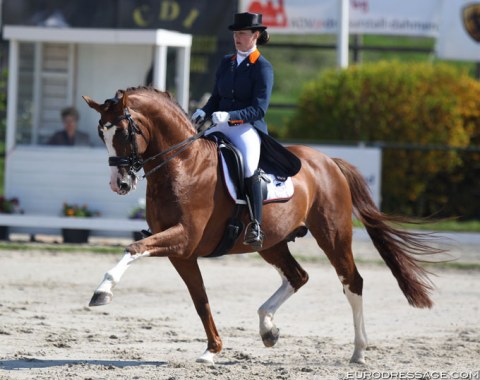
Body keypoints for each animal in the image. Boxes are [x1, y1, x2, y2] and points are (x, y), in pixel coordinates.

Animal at [82, 87, 442, 366]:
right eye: (101, 133)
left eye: (124, 133)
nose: (120, 184)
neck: (183, 164)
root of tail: (328, 161)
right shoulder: (181, 253)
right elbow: (200, 300)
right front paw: (212, 350)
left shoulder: (183, 239)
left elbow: (134, 248)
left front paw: (102, 291)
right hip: (272, 243)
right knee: (298, 276)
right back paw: (268, 328)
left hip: (333, 235)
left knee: (352, 282)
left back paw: (359, 352)